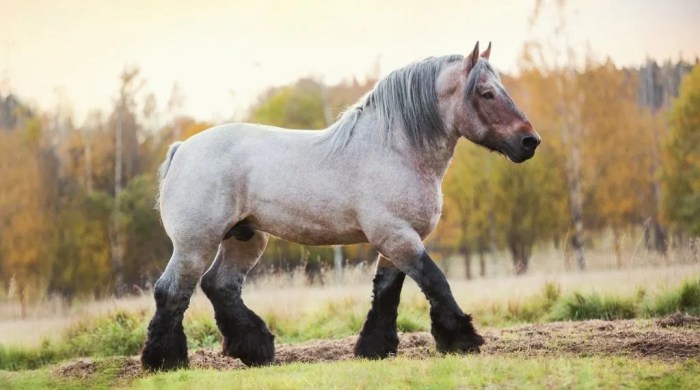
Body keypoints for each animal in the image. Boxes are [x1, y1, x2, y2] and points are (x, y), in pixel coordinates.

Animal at [142, 41, 540, 370]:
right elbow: (435, 280)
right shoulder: (396, 235)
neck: (395, 149)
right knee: (172, 291)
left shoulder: (395, 240)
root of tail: (181, 149)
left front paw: (374, 348)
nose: (530, 141)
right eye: (487, 94)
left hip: (245, 238)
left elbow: (386, 291)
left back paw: (255, 348)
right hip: (195, 244)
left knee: (219, 286)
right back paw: (165, 361)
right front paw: (461, 339)